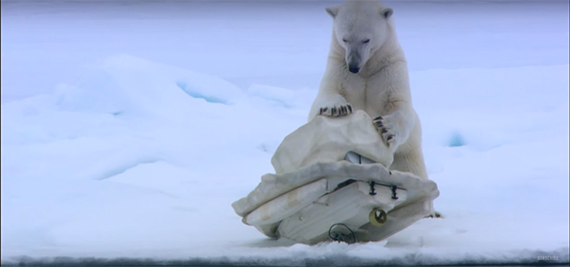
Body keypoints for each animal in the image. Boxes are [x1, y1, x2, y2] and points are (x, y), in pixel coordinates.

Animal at [310, 0, 426, 182]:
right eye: (345, 38)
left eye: (366, 39)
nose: (353, 66)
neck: (366, 69)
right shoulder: (339, 65)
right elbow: (328, 92)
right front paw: (338, 108)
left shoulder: (389, 68)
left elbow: (400, 105)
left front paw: (385, 126)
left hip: (407, 156)